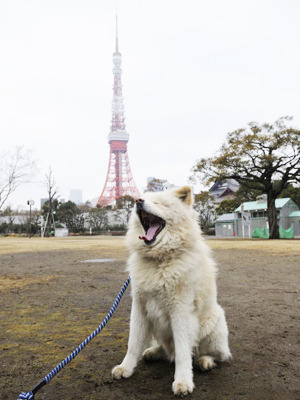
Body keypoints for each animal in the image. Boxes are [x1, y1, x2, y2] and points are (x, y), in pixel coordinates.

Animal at [112, 186, 232, 396]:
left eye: (159, 203)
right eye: (143, 198)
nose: (138, 201)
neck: (159, 259)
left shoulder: (180, 310)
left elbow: (183, 351)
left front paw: (183, 382)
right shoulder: (139, 307)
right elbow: (133, 343)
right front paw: (125, 368)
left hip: (214, 323)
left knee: (216, 355)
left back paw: (205, 361)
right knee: (165, 348)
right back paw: (153, 352)